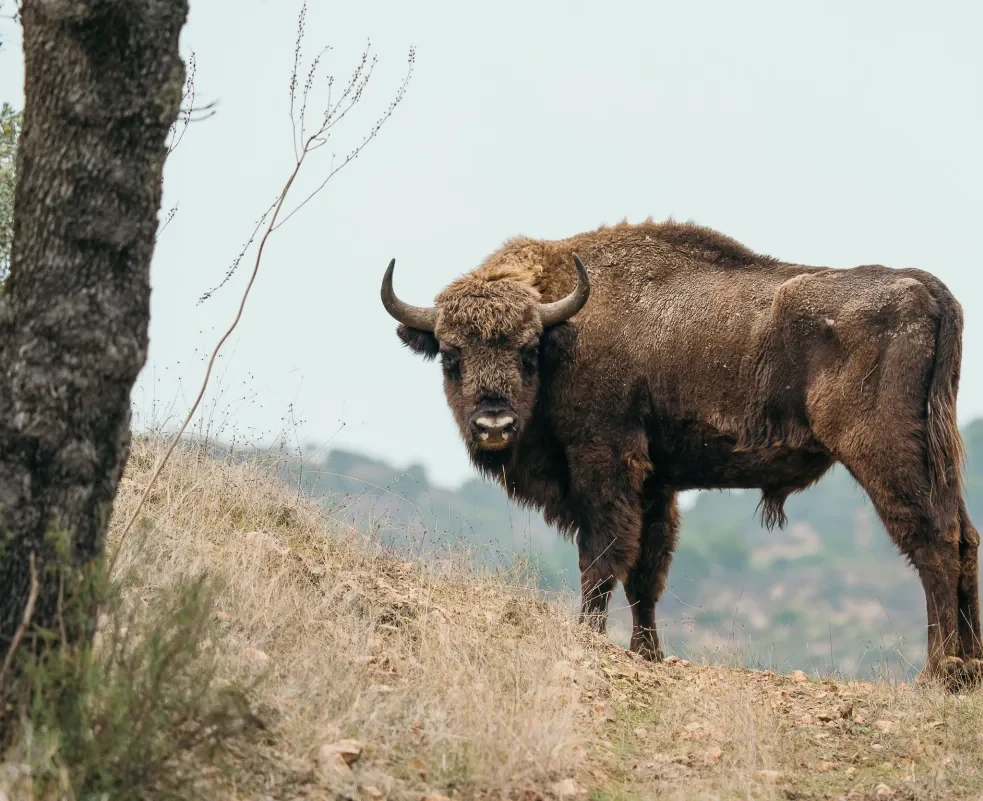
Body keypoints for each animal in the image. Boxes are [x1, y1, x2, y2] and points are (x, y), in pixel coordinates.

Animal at [380, 219, 979, 687]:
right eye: (451, 355)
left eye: (528, 351)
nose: (494, 424)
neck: (566, 329)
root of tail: (925, 289)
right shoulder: (655, 485)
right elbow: (646, 572)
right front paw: (647, 653)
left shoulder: (605, 467)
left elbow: (602, 558)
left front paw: (590, 636)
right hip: (937, 460)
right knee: (965, 540)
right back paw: (967, 672)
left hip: (887, 457)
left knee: (932, 543)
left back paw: (937, 673)